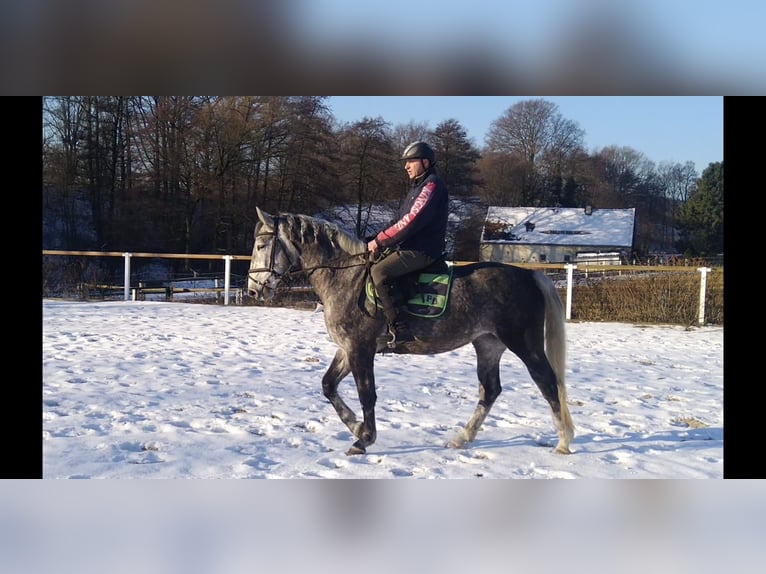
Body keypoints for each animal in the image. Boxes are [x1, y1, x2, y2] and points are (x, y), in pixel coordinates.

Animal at [248, 209, 576, 456]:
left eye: (262, 246)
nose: (253, 290)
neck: (346, 277)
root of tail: (529, 275)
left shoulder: (361, 348)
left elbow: (367, 394)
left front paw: (364, 438)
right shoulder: (347, 348)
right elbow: (328, 385)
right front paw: (356, 426)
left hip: (525, 344)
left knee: (549, 384)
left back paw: (563, 442)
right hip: (488, 344)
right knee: (490, 390)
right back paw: (462, 438)